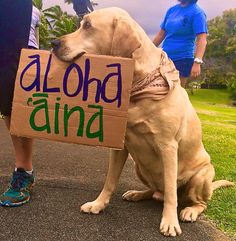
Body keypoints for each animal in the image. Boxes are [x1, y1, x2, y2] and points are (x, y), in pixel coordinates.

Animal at [52, 7, 234, 235]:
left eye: (87, 26)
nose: (54, 43)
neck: (137, 84)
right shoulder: (120, 145)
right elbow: (110, 180)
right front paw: (98, 204)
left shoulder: (168, 147)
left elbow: (172, 194)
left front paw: (170, 221)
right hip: (140, 167)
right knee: (157, 192)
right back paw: (138, 193)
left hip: (201, 176)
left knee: (193, 200)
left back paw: (190, 211)